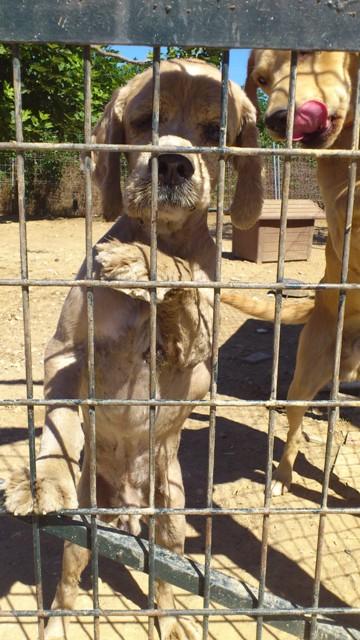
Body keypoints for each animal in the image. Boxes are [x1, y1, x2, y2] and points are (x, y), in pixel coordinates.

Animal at [4, 60, 262, 640]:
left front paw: (140, 262)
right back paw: (59, 622)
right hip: (84, 529)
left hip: (172, 518)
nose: (174, 164)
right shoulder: (64, 356)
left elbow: (182, 276)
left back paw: (171, 620)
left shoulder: (195, 349)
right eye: (145, 120)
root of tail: (126, 505)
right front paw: (40, 481)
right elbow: (59, 424)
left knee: (164, 577)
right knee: (69, 583)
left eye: (215, 130)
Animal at [236, 52, 360, 498]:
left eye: (307, 55)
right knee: (290, 433)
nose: (275, 120)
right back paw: (282, 477)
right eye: (260, 79)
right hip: (303, 383)